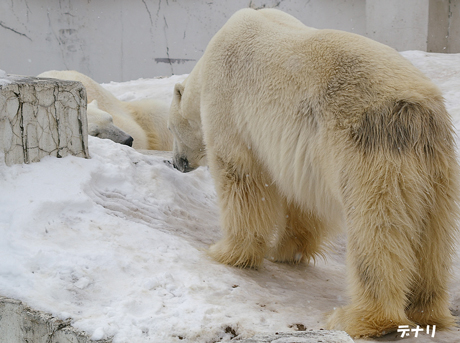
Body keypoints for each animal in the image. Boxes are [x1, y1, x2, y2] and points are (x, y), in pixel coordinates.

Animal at [168, 6, 460, 340]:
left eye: (170, 129)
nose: (176, 162)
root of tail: (417, 113)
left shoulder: (228, 108)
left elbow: (241, 179)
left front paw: (226, 252)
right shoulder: (303, 157)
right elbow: (302, 201)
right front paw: (286, 251)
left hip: (371, 156)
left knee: (376, 231)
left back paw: (358, 318)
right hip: (437, 171)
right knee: (433, 237)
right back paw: (426, 309)